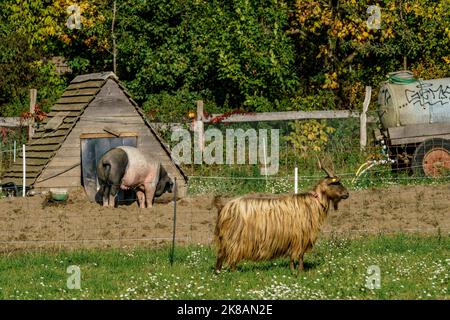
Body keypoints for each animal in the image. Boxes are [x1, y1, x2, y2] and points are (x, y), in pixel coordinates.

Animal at [214, 159, 348, 272]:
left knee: (221, 253)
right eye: (335, 183)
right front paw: (299, 272)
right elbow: (299, 255)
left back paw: (218, 272)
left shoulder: (294, 237)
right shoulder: (300, 236)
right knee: (231, 254)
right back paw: (232, 272)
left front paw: (294, 270)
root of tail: (224, 207)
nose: (347, 194)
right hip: (235, 238)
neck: (312, 202)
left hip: (225, 238)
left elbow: (294, 256)